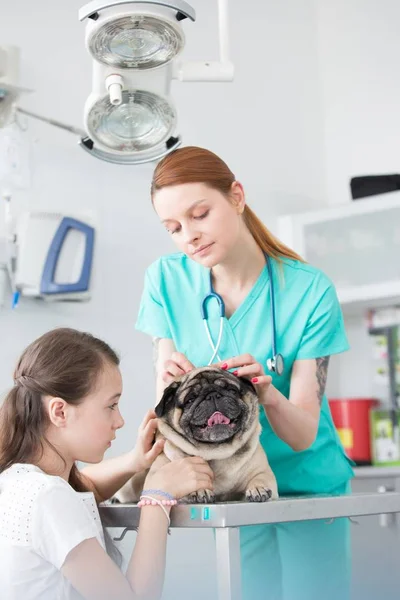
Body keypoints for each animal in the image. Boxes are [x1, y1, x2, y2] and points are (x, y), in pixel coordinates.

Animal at [115, 368, 278, 504]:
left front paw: (258, 488)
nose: (212, 395)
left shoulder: (263, 472)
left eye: (232, 390)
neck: (216, 452)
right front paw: (199, 490)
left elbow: (260, 477)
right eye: (190, 400)